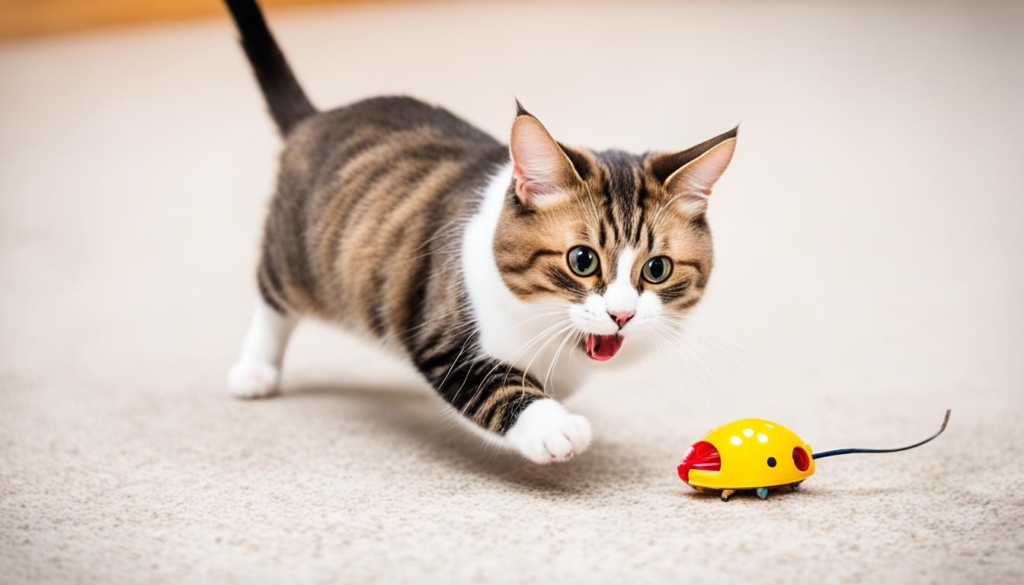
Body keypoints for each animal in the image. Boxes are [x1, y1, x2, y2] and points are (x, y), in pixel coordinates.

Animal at [224, 1, 737, 467]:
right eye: (582, 260)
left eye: (657, 269)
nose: (622, 315)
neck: (555, 337)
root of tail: (315, 118)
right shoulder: (445, 337)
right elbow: (498, 385)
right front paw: (554, 427)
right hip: (295, 258)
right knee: (272, 299)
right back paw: (255, 371)